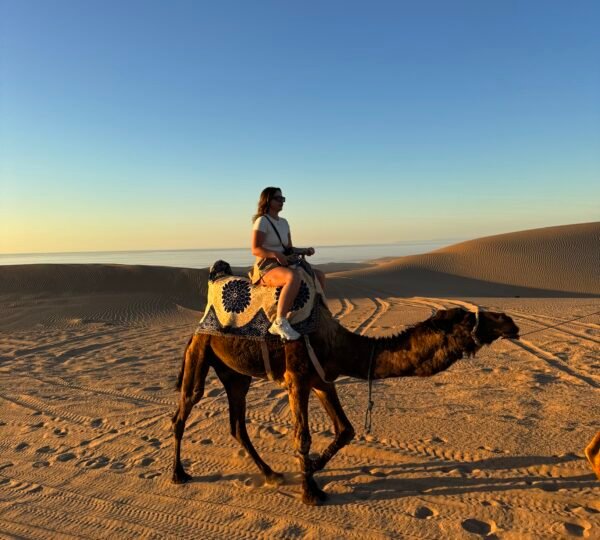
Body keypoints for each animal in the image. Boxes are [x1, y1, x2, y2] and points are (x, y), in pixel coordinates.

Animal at [171, 306, 516, 504]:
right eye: (467, 319)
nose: (508, 321)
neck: (337, 345)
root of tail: (197, 327)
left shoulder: (323, 381)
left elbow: (346, 430)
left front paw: (311, 469)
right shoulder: (297, 379)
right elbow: (303, 437)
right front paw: (311, 492)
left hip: (236, 374)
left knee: (237, 424)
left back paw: (271, 474)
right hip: (200, 353)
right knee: (184, 409)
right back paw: (179, 474)